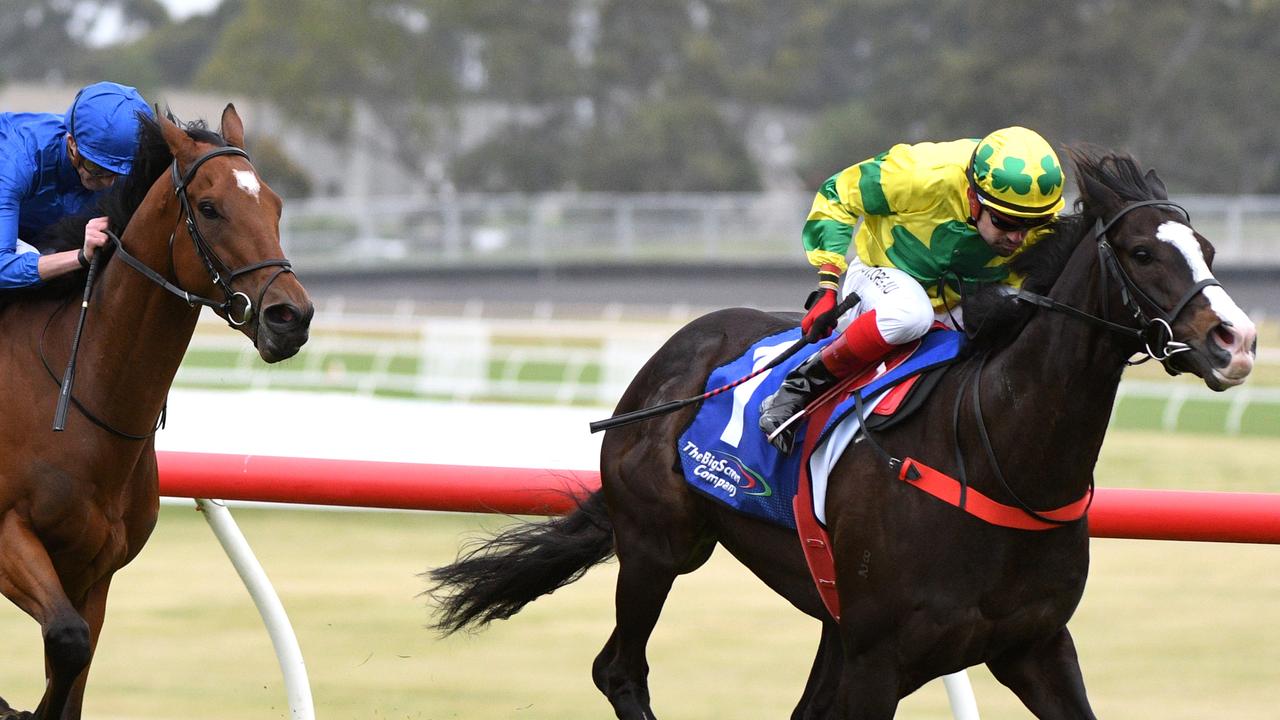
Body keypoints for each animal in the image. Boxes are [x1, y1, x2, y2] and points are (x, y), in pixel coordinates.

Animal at [0, 106, 312, 717]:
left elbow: (73, 663)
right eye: (210, 208)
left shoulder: (92, 573)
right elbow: (67, 641)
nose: (291, 316)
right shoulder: (9, 537)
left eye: (275, 204)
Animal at [427, 148, 1249, 712]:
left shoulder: (1033, 646)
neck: (994, 452)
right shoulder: (879, 660)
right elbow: (857, 183)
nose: (1235, 340)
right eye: (1142, 252)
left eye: (1207, 250)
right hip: (661, 545)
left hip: (817, 616)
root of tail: (667, 360)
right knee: (619, 671)